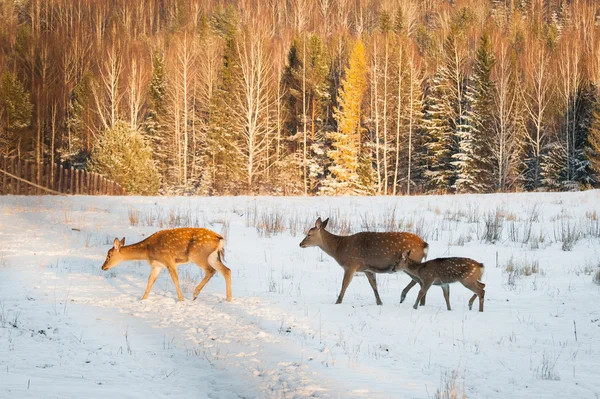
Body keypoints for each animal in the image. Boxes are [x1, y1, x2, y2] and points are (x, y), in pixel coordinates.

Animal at [101, 228, 232, 304]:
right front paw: (143, 299)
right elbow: (150, 280)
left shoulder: (168, 260)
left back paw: (195, 294)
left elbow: (175, 279)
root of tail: (219, 238)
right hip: (213, 257)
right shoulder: (157, 265)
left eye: (109, 255)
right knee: (227, 270)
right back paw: (228, 299)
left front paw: (181, 299)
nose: (103, 267)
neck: (148, 251)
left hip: (198, 255)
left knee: (211, 270)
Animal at [298, 219, 428, 306]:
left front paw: (338, 302)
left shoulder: (351, 264)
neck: (339, 249)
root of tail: (425, 244)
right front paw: (379, 302)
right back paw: (420, 302)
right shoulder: (367, 269)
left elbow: (344, 284)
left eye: (309, 234)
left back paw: (405, 296)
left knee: (419, 280)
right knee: (420, 281)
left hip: (409, 262)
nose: (300, 244)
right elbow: (374, 286)